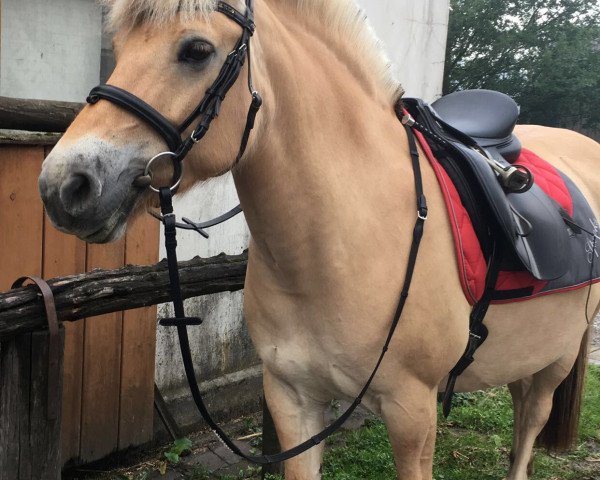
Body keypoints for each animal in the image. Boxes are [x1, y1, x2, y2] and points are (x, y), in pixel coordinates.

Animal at [37, 0, 600, 480]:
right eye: (119, 46)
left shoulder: (412, 412)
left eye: (196, 50)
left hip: (560, 356)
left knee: (530, 421)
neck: (339, 245)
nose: (64, 185)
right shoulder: (294, 400)